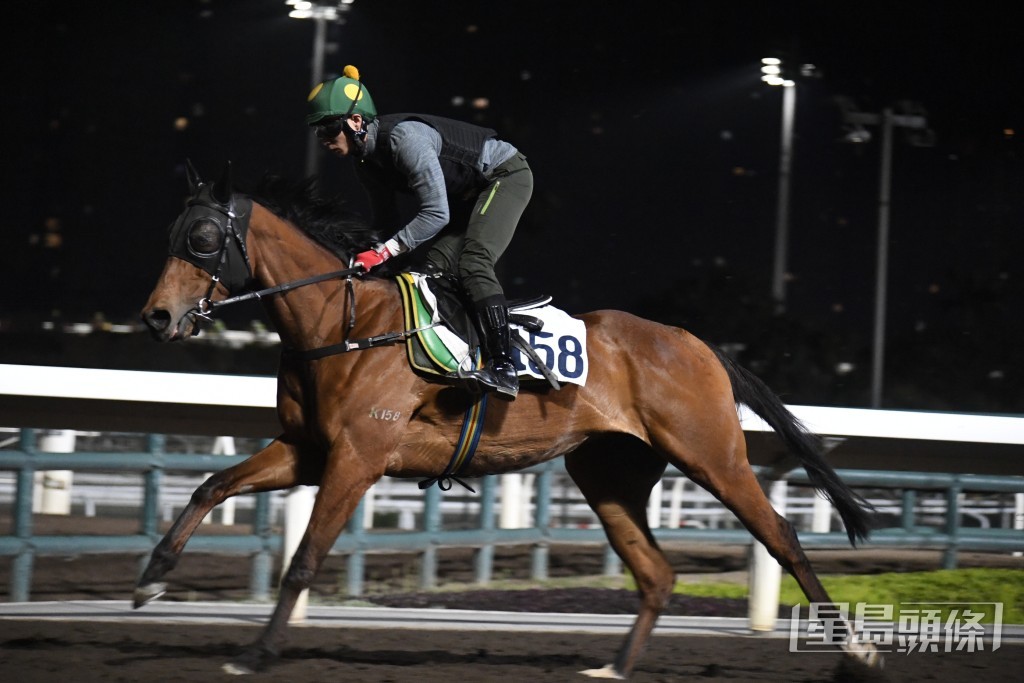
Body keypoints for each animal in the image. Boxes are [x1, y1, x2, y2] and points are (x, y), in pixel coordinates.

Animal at [140, 163, 884, 679]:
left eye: (203, 238)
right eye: (171, 235)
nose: (156, 317)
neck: (341, 326)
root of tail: (695, 341)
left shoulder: (358, 456)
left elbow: (302, 562)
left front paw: (255, 654)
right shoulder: (307, 450)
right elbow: (212, 486)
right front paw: (152, 577)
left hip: (711, 453)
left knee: (781, 534)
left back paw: (858, 648)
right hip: (607, 473)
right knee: (656, 573)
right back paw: (614, 666)